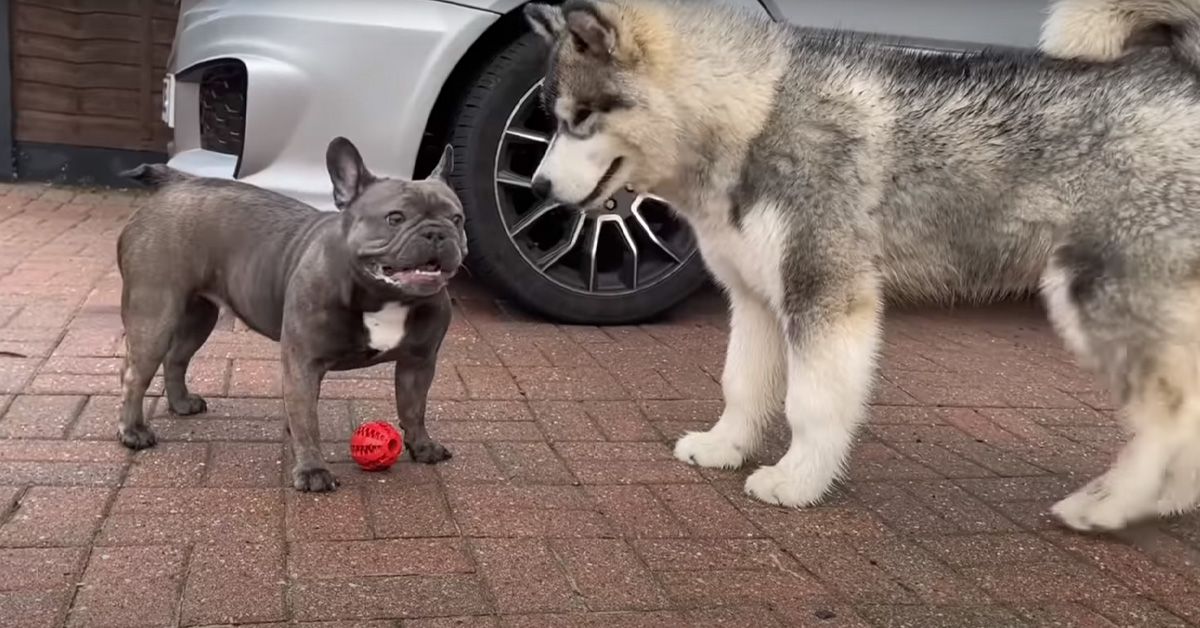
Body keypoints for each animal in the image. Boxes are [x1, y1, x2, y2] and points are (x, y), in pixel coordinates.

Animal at [528, 0, 1200, 533]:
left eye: (579, 117)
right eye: (553, 118)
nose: (536, 187)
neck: (755, 114)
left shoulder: (825, 291)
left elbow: (811, 404)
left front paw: (797, 481)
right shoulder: (755, 297)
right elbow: (742, 384)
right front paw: (726, 446)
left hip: (1099, 294)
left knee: (1169, 416)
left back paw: (1113, 505)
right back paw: (1169, 500)